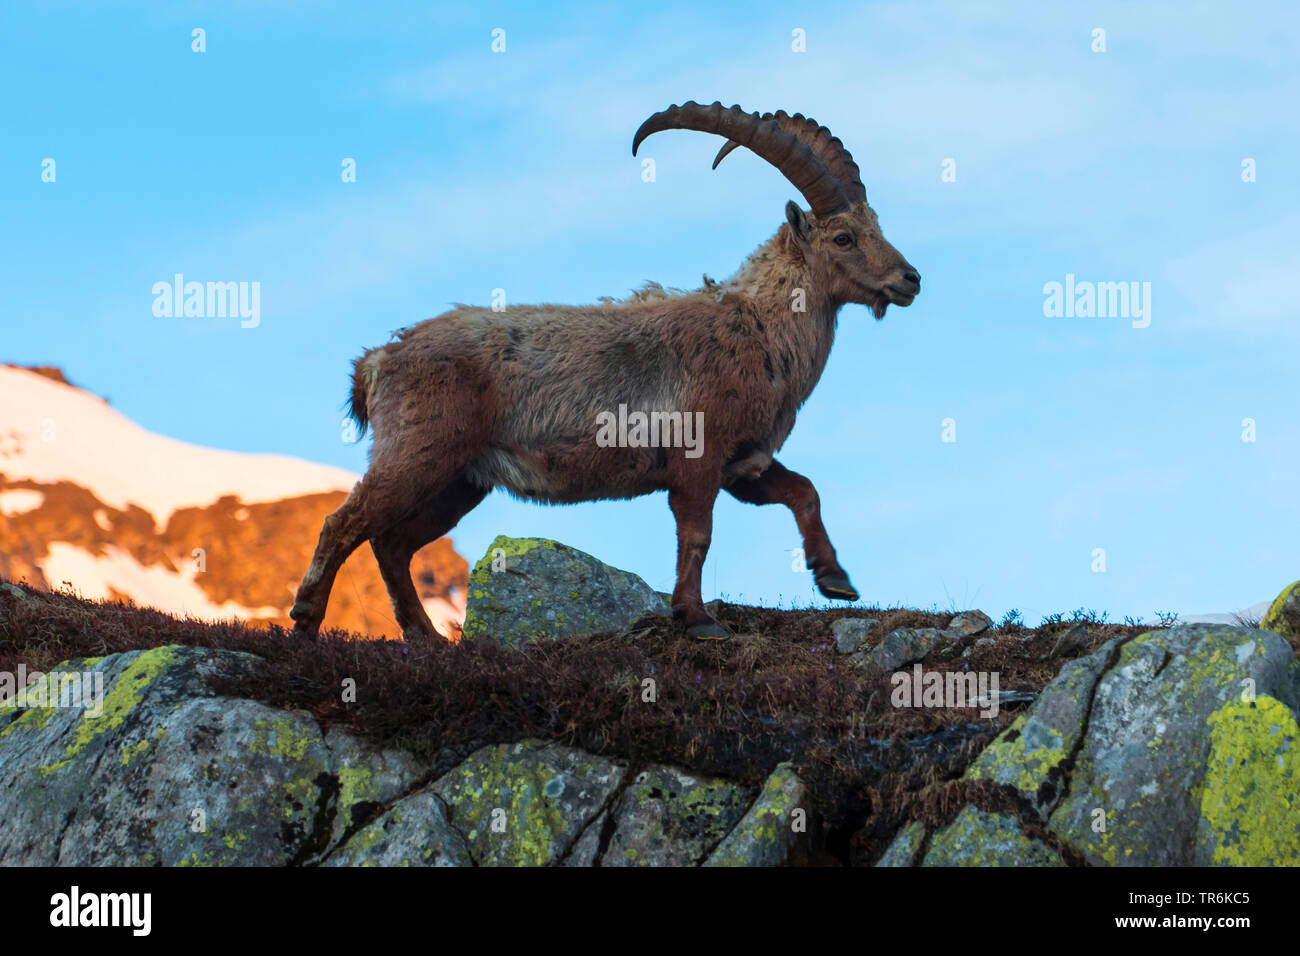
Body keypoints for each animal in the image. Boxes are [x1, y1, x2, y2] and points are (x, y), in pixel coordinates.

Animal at [290, 101, 921, 642]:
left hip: (461, 480)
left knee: (393, 543)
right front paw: (697, 619)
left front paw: (835, 579)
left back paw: (426, 639)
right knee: (344, 523)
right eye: (844, 237)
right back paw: (305, 622)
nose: (910, 279)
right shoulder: (697, 456)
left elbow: (804, 491)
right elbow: (697, 534)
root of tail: (378, 360)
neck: (757, 332)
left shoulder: (743, 464)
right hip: (418, 453)